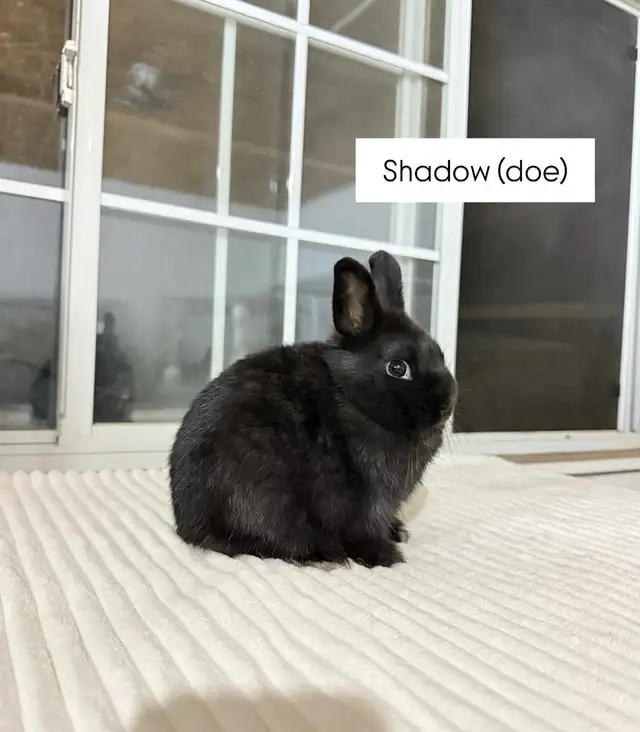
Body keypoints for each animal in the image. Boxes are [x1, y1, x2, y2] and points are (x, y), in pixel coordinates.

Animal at [169, 250, 457, 568]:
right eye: (398, 368)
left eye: (440, 354)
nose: (446, 406)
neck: (353, 399)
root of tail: (188, 524)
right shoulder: (366, 500)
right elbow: (364, 527)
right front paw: (387, 556)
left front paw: (398, 533)